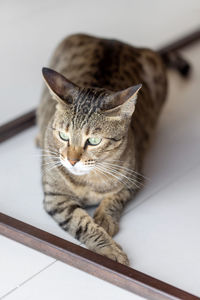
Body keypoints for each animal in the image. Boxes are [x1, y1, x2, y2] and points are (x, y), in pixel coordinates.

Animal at [36, 32, 189, 264]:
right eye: (63, 136)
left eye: (94, 141)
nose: (72, 160)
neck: (90, 180)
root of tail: (112, 40)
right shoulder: (56, 198)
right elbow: (80, 223)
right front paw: (108, 248)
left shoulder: (134, 179)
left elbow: (115, 198)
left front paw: (104, 219)